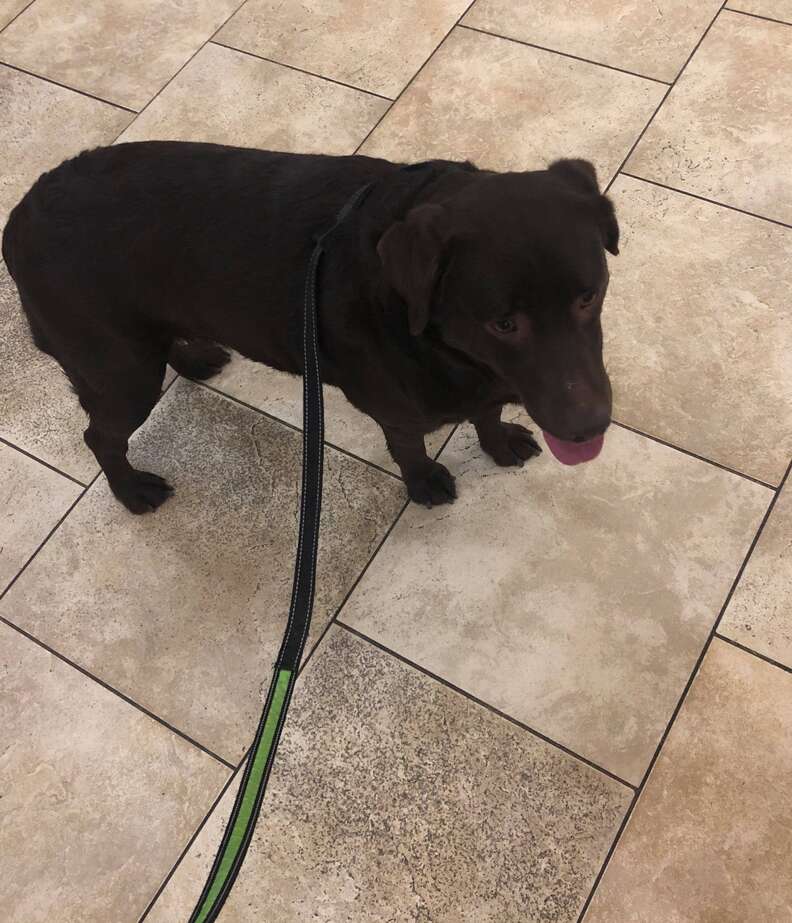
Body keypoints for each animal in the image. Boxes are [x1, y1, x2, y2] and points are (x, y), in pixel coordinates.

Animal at [1, 143, 620, 512]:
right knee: (100, 436)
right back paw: (130, 490)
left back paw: (196, 357)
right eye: (504, 323)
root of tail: (19, 217)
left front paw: (499, 441)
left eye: (588, 296)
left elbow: (486, 413)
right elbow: (410, 449)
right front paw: (424, 482)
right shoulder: (397, 409)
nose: (589, 428)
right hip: (119, 369)